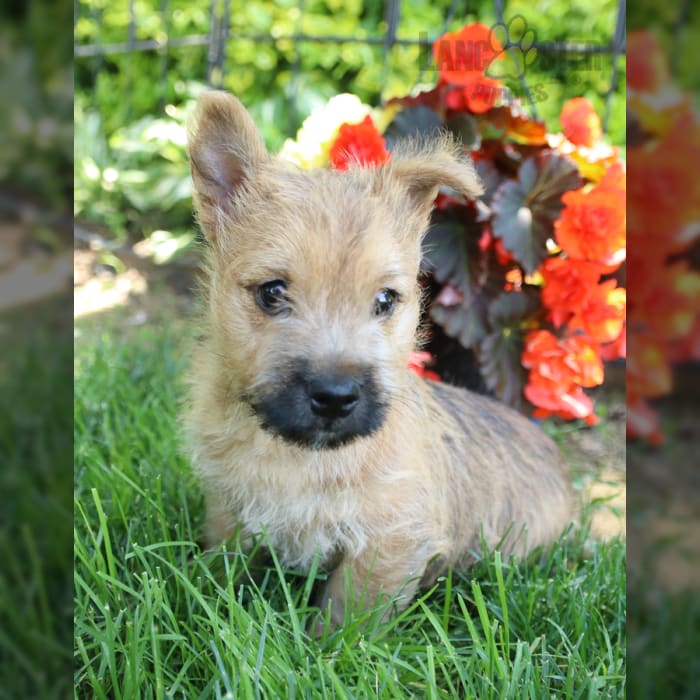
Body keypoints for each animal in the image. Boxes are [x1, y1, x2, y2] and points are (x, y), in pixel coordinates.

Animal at [183, 90, 572, 632]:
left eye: (385, 301)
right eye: (272, 292)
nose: (335, 397)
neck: (302, 458)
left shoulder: (390, 541)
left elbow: (347, 619)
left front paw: (328, 650)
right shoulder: (228, 512)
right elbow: (221, 565)